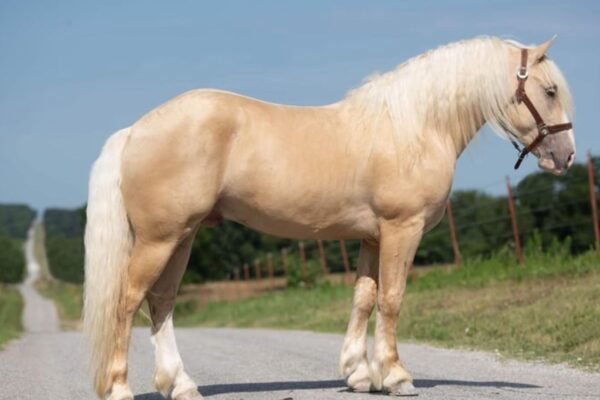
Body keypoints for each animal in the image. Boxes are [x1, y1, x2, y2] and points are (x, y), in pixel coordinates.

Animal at [82, 36, 576, 398]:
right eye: (550, 90)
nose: (565, 156)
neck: (414, 126)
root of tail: (135, 130)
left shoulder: (372, 237)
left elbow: (363, 299)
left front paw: (358, 375)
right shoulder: (403, 229)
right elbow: (392, 299)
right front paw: (396, 376)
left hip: (181, 238)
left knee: (160, 303)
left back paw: (181, 386)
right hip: (159, 239)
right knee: (128, 302)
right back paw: (121, 388)